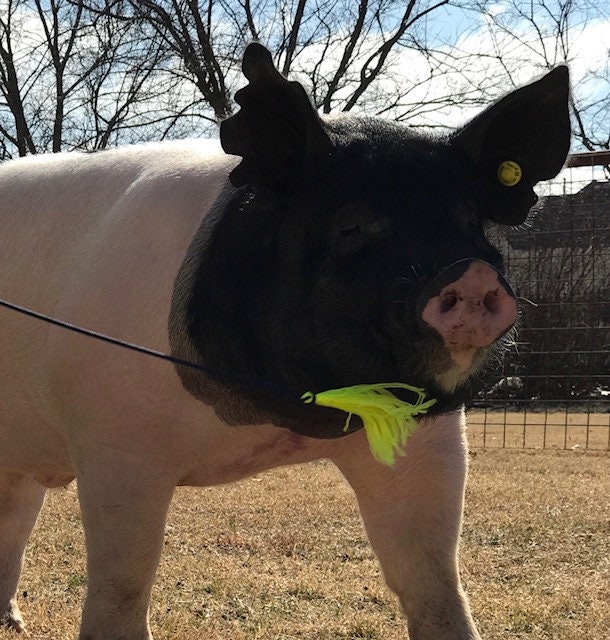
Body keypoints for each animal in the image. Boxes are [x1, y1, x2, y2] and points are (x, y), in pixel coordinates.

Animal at [0, 43, 569, 640]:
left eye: (470, 222)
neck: (277, 417)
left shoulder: (426, 436)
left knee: (12, 521)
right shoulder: (114, 441)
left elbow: (431, 581)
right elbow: (124, 584)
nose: (470, 273)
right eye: (350, 226)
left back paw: (13, 622)